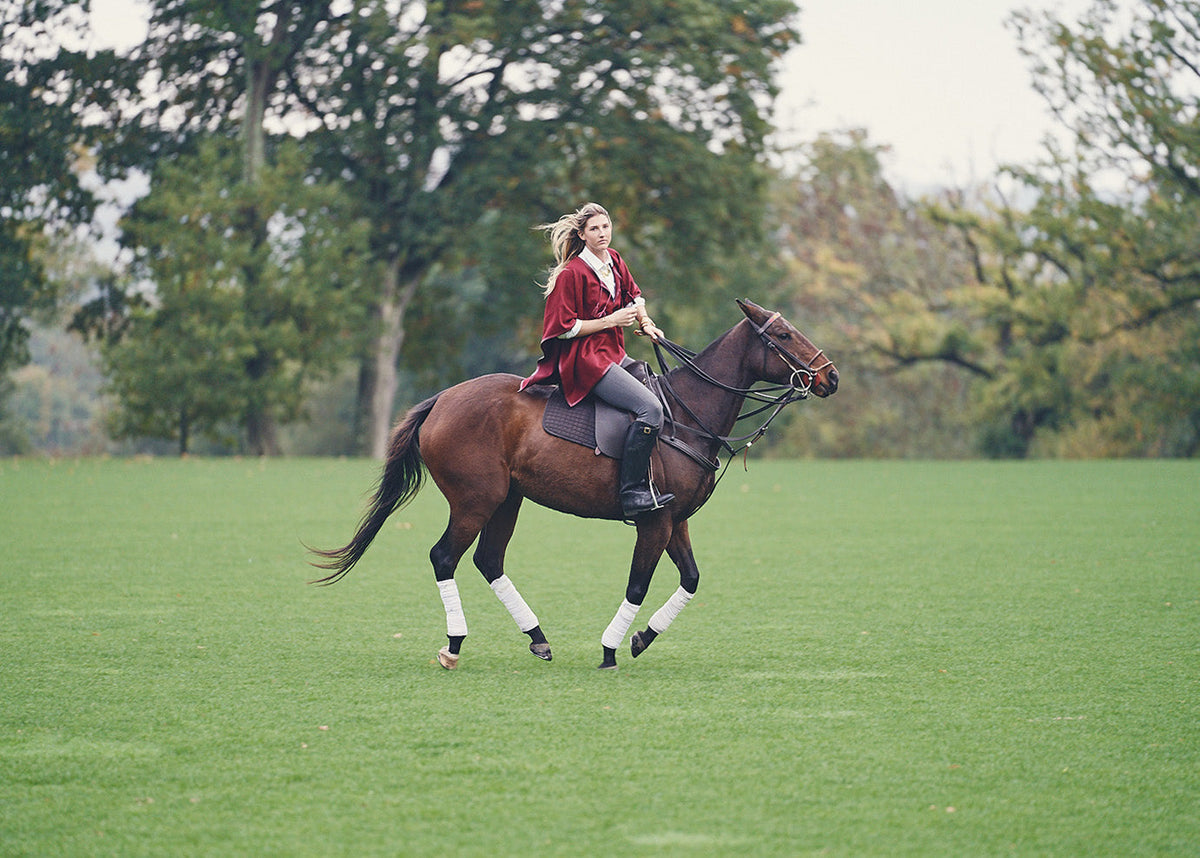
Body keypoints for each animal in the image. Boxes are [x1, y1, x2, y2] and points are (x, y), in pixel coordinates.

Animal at [309, 299, 838, 669]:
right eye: (784, 334)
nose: (830, 377)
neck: (688, 415)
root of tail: (440, 400)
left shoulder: (675, 518)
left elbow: (690, 578)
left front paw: (642, 638)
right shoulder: (655, 520)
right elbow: (637, 583)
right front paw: (610, 649)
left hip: (508, 500)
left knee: (488, 559)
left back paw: (539, 639)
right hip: (474, 500)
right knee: (445, 556)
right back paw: (455, 645)